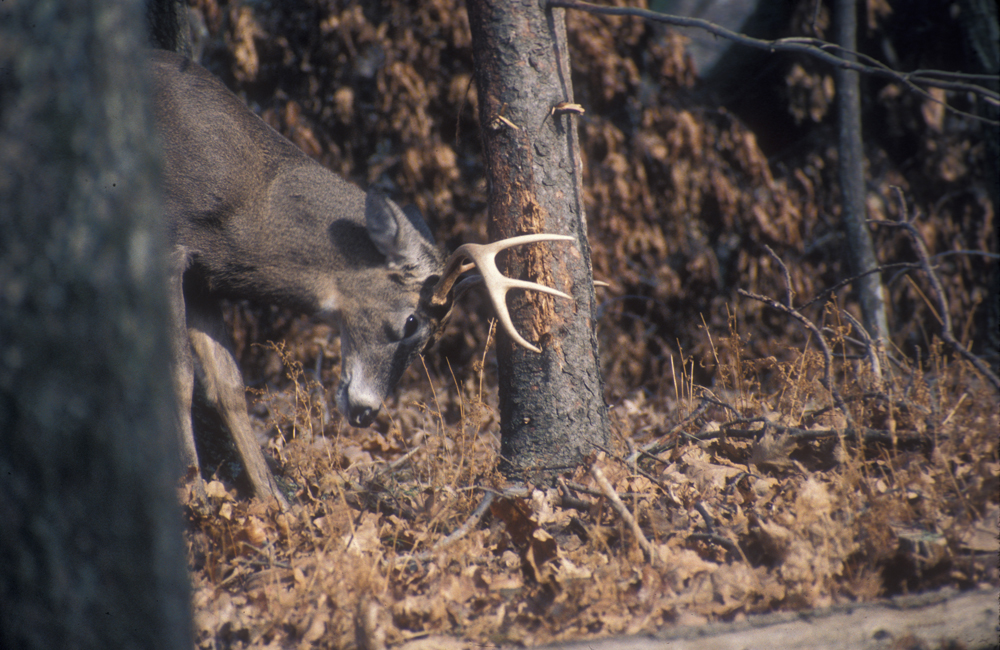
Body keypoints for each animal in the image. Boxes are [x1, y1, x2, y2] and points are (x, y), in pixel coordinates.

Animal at [147, 49, 572, 506]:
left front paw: (276, 503)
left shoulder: (204, 274)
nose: (367, 412)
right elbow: (179, 377)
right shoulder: (171, 246)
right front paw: (194, 498)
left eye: (432, 344)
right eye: (411, 321)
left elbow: (228, 387)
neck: (243, 203)